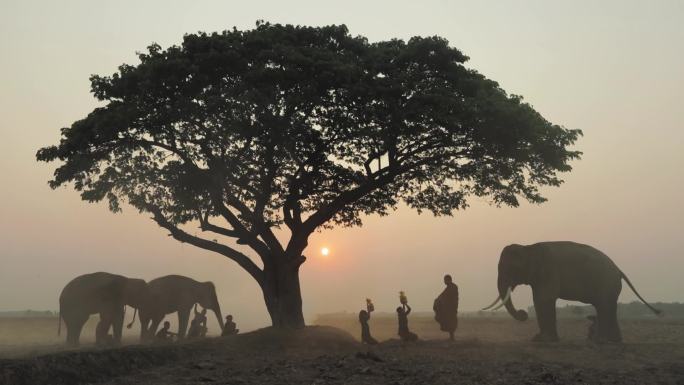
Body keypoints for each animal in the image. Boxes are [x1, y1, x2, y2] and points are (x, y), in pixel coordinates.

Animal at [484, 242, 660, 340]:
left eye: (511, 268)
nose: (523, 313)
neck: (528, 247)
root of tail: (619, 270)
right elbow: (539, 300)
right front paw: (538, 339)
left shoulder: (549, 270)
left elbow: (544, 299)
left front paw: (543, 341)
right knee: (605, 308)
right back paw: (610, 341)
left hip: (607, 283)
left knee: (605, 307)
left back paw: (603, 341)